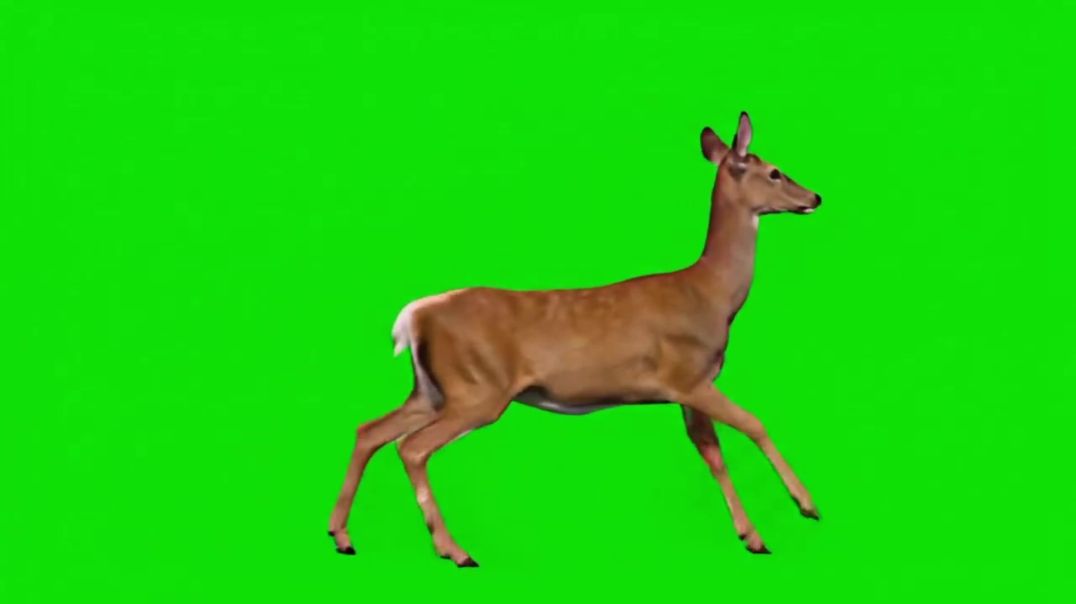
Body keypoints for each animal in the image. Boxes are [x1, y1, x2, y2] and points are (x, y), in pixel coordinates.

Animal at [328, 111, 823, 567]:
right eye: (775, 171)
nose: (815, 196)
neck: (713, 295)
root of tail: (414, 316)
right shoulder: (687, 375)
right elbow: (755, 424)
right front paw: (806, 505)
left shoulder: (688, 388)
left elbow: (713, 454)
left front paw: (752, 536)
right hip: (477, 389)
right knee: (411, 447)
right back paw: (454, 550)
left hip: (433, 389)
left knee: (369, 430)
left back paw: (342, 535)